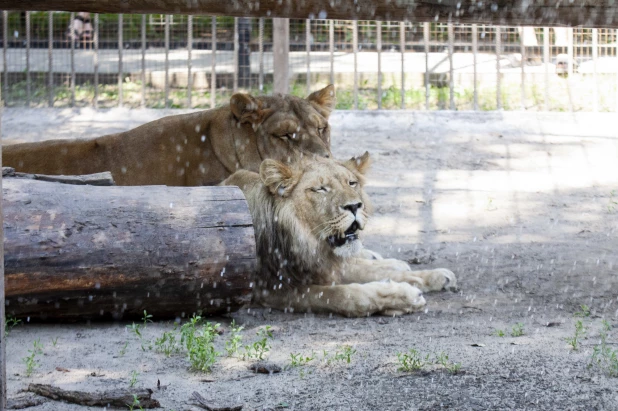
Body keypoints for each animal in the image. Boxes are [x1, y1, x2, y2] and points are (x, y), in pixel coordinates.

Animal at [219, 153, 454, 318]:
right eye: (320, 189)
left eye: (351, 183)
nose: (354, 206)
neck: (307, 243)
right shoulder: (270, 289)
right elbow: (342, 295)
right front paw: (404, 296)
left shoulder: (323, 265)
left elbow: (362, 272)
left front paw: (429, 277)